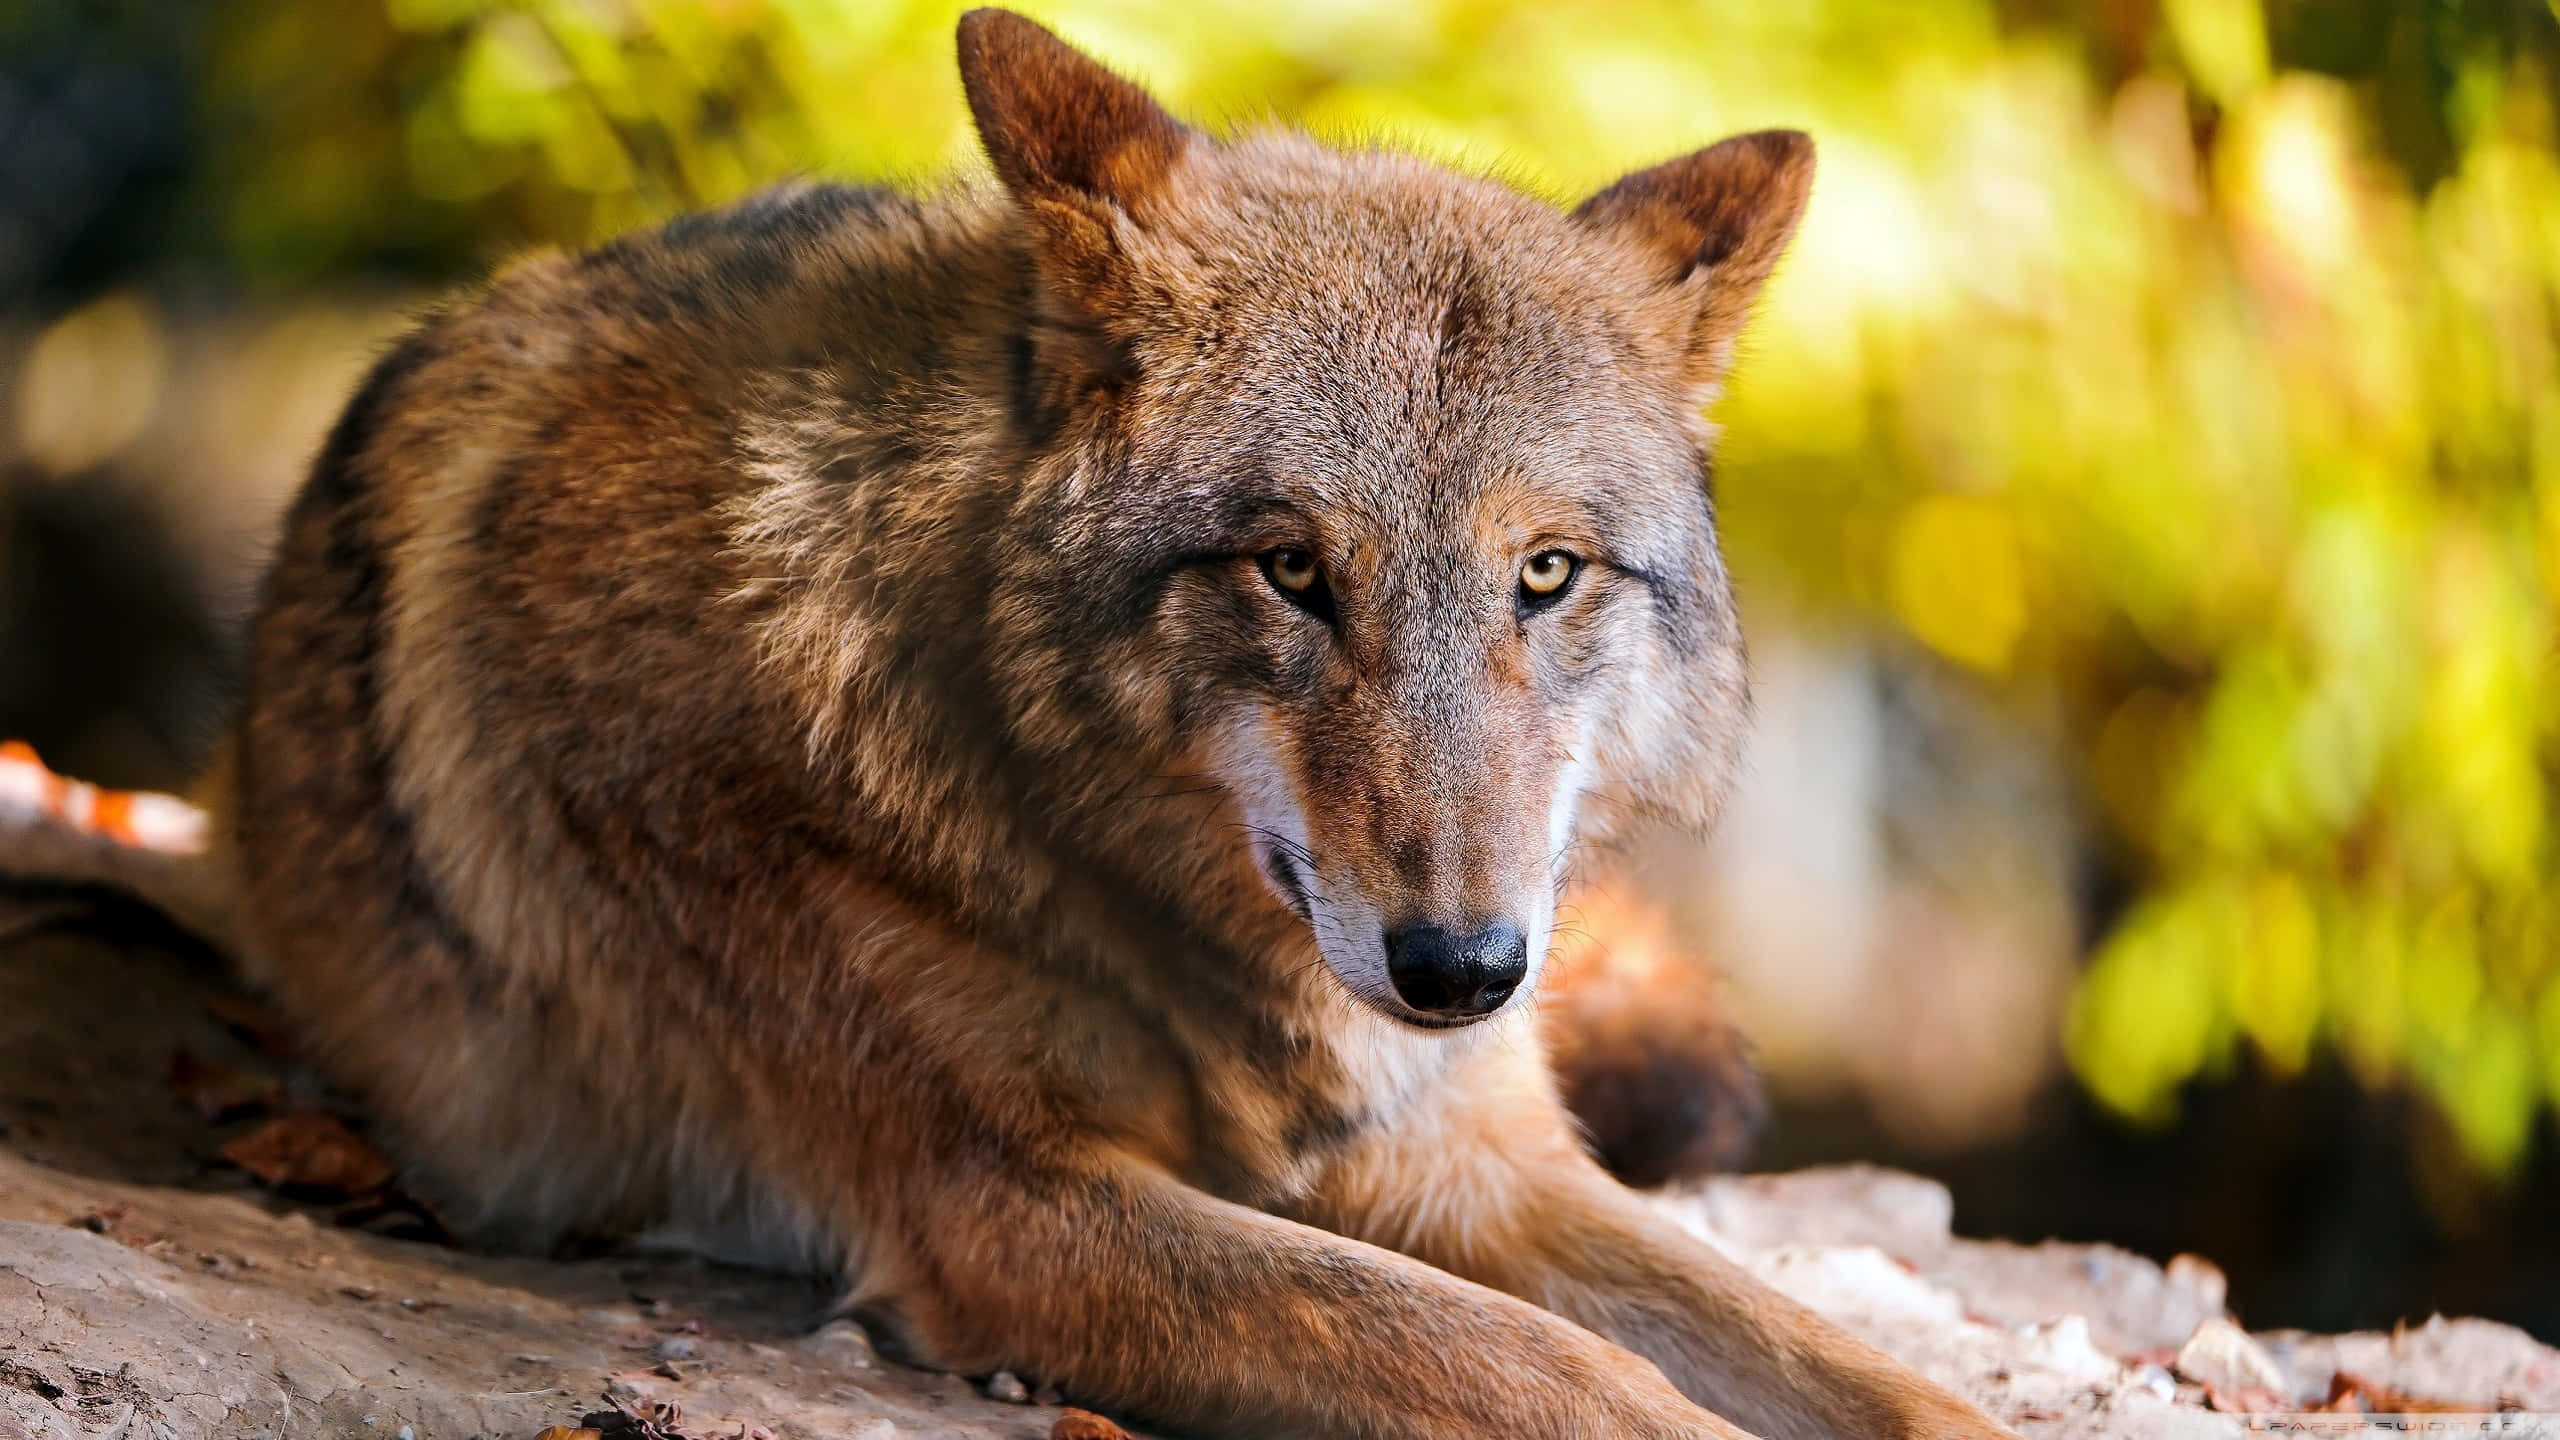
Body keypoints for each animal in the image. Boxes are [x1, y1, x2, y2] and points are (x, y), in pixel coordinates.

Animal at [0, 11, 2009, 1438]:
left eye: (1546, 573)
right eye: (1292, 569)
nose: (1463, 969)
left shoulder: (1469, 1159)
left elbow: (1885, 1383)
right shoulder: (1013, 1209)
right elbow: (1566, 1378)